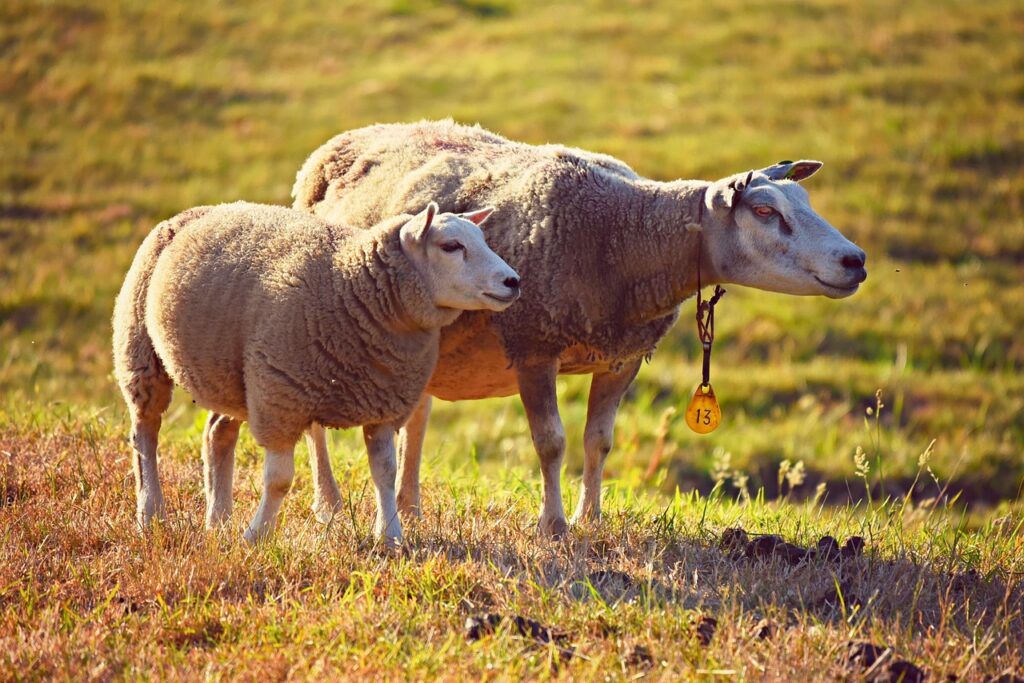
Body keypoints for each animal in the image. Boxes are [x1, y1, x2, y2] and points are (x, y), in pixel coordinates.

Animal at [112, 200, 521, 544]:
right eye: (451, 246)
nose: (513, 282)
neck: (351, 285)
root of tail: (196, 211)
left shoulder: (384, 402)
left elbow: (385, 473)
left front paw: (390, 537)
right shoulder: (281, 397)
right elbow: (280, 481)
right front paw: (256, 537)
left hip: (229, 375)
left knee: (217, 435)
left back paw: (218, 521)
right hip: (140, 351)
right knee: (144, 434)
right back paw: (151, 515)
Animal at [286, 119, 868, 538]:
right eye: (766, 211)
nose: (855, 260)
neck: (624, 235)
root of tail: (346, 138)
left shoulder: (621, 357)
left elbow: (598, 442)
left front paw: (592, 518)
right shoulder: (533, 344)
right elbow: (551, 443)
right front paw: (554, 525)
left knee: (418, 417)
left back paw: (410, 506)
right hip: (320, 321)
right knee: (316, 423)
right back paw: (328, 503)